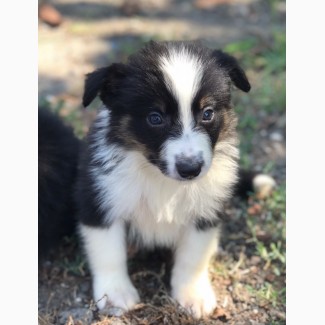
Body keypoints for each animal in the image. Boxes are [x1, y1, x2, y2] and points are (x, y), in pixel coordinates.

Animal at [75, 40, 274, 316]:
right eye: (155, 118)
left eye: (208, 113)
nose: (190, 169)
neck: (158, 177)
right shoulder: (100, 198)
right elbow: (108, 251)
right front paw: (114, 293)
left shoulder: (206, 210)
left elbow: (193, 255)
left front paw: (193, 294)